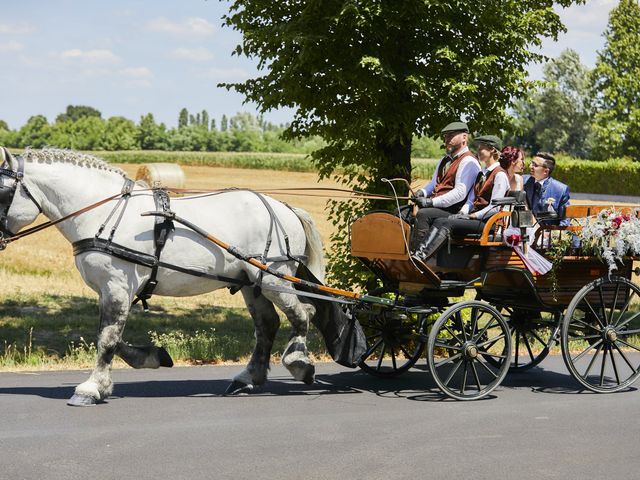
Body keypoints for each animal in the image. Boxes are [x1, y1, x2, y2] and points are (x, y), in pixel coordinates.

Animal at [0, 147, 328, 404]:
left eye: (2, 191)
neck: (102, 213)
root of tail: (285, 207)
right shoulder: (112, 291)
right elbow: (112, 335)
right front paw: (151, 357)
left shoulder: (117, 286)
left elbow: (107, 338)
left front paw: (91, 388)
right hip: (252, 282)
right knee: (268, 324)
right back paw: (248, 378)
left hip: (274, 278)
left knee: (302, 314)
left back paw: (299, 363)